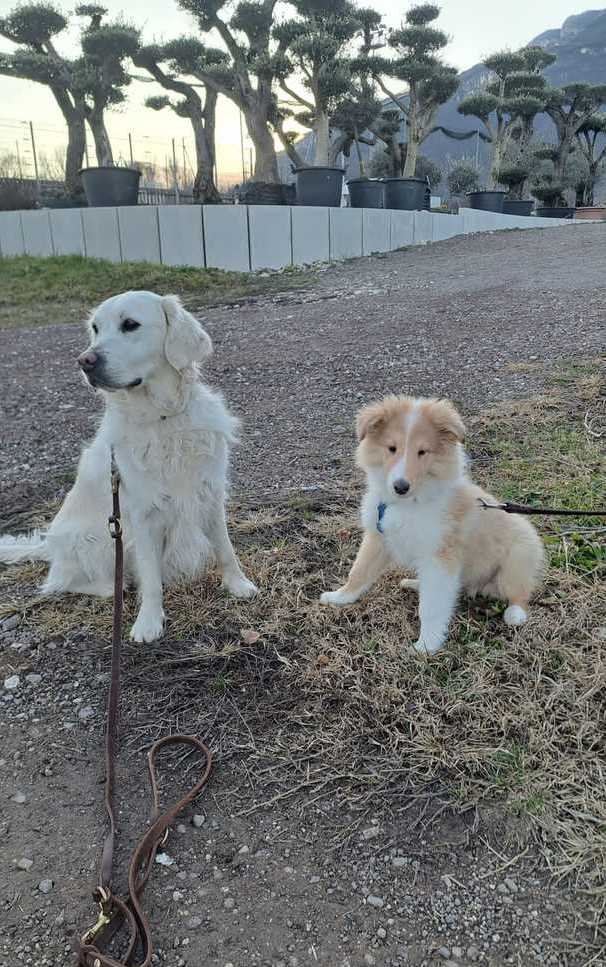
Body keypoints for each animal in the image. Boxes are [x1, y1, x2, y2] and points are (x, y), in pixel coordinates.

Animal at [0, 290, 257, 643]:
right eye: (95, 329)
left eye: (130, 324)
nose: (85, 361)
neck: (162, 419)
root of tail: (48, 545)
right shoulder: (141, 513)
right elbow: (151, 574)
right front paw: (148, 622)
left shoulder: (209, 494)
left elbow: (225, 548)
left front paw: (238, 584)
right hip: (93, 541)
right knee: (65, 582)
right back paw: (115, 587)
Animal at [320, 395, 545, 654]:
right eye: (391, 448)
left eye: (422, 452)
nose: (400, 486)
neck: (409, 503)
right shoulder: (379, 537)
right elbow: (359, 572)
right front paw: (339, 597)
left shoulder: (439, 557)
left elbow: (431, 607)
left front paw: (426, 645)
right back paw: (415, 583)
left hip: (515, 561)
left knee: (519, 593)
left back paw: (515, 613)